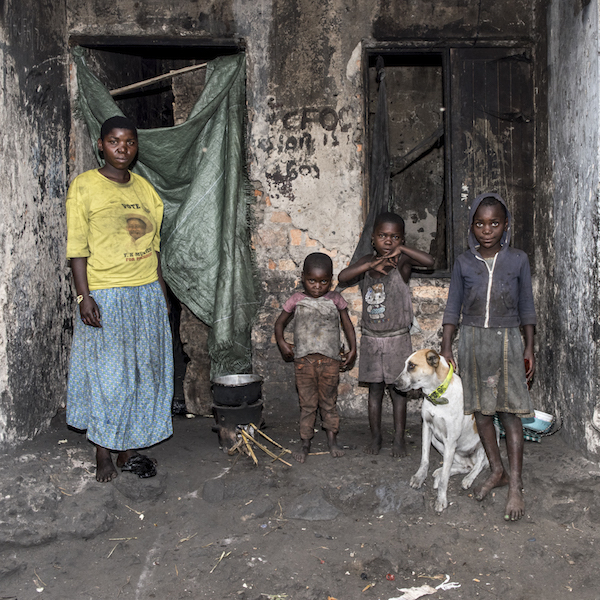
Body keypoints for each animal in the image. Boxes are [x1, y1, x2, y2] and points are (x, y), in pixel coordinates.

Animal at [395, 349, 488, 512]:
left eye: (411, 366)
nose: (394, 383)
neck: (438, 396)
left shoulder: (450, 441)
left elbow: (445, 480)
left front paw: (441, 499)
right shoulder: (427, 428)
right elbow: (424, 459)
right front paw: (420, 477)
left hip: (483, 441)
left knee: (479, 464)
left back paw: (468, 478)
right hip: (438, 442)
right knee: (464, 466)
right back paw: (442, 470)